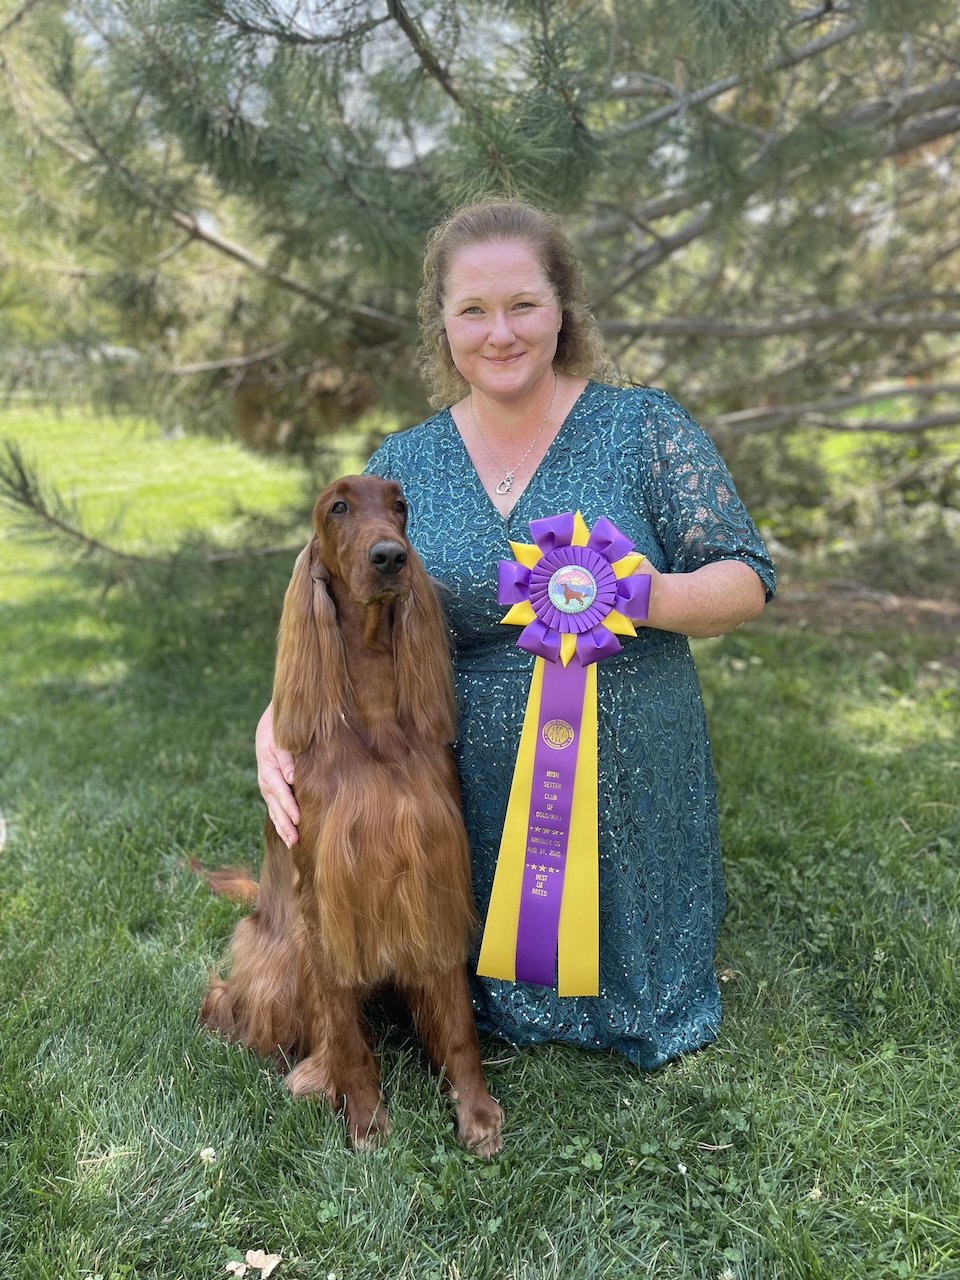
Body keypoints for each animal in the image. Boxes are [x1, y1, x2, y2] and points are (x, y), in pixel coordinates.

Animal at [201, 475, 503, 1156]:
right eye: (337, 507)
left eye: (401, 506)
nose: (390, 556)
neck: (374, 714)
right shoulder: (323, 902)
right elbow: (343, 1032)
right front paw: (365, 1120)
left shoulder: (435, 874)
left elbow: (458, 1021)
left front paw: (474, 1111)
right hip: (278, 954)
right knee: (232, 1003)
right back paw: (307, 1071)